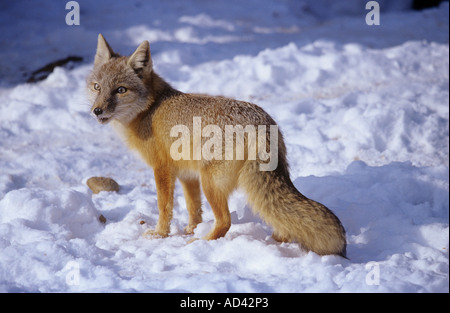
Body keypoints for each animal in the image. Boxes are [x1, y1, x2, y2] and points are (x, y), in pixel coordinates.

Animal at [88, 34, 346, 258]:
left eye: (121, 90)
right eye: (97, 87)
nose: (96, 111)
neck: (150, 108)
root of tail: (261, 122)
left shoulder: (162, 170)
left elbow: (164, 207)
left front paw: (160, 234)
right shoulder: (187, 174)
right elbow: (193, 207)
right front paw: (191, 228)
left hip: (210, 182)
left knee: (225, 222)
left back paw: (202, 242)